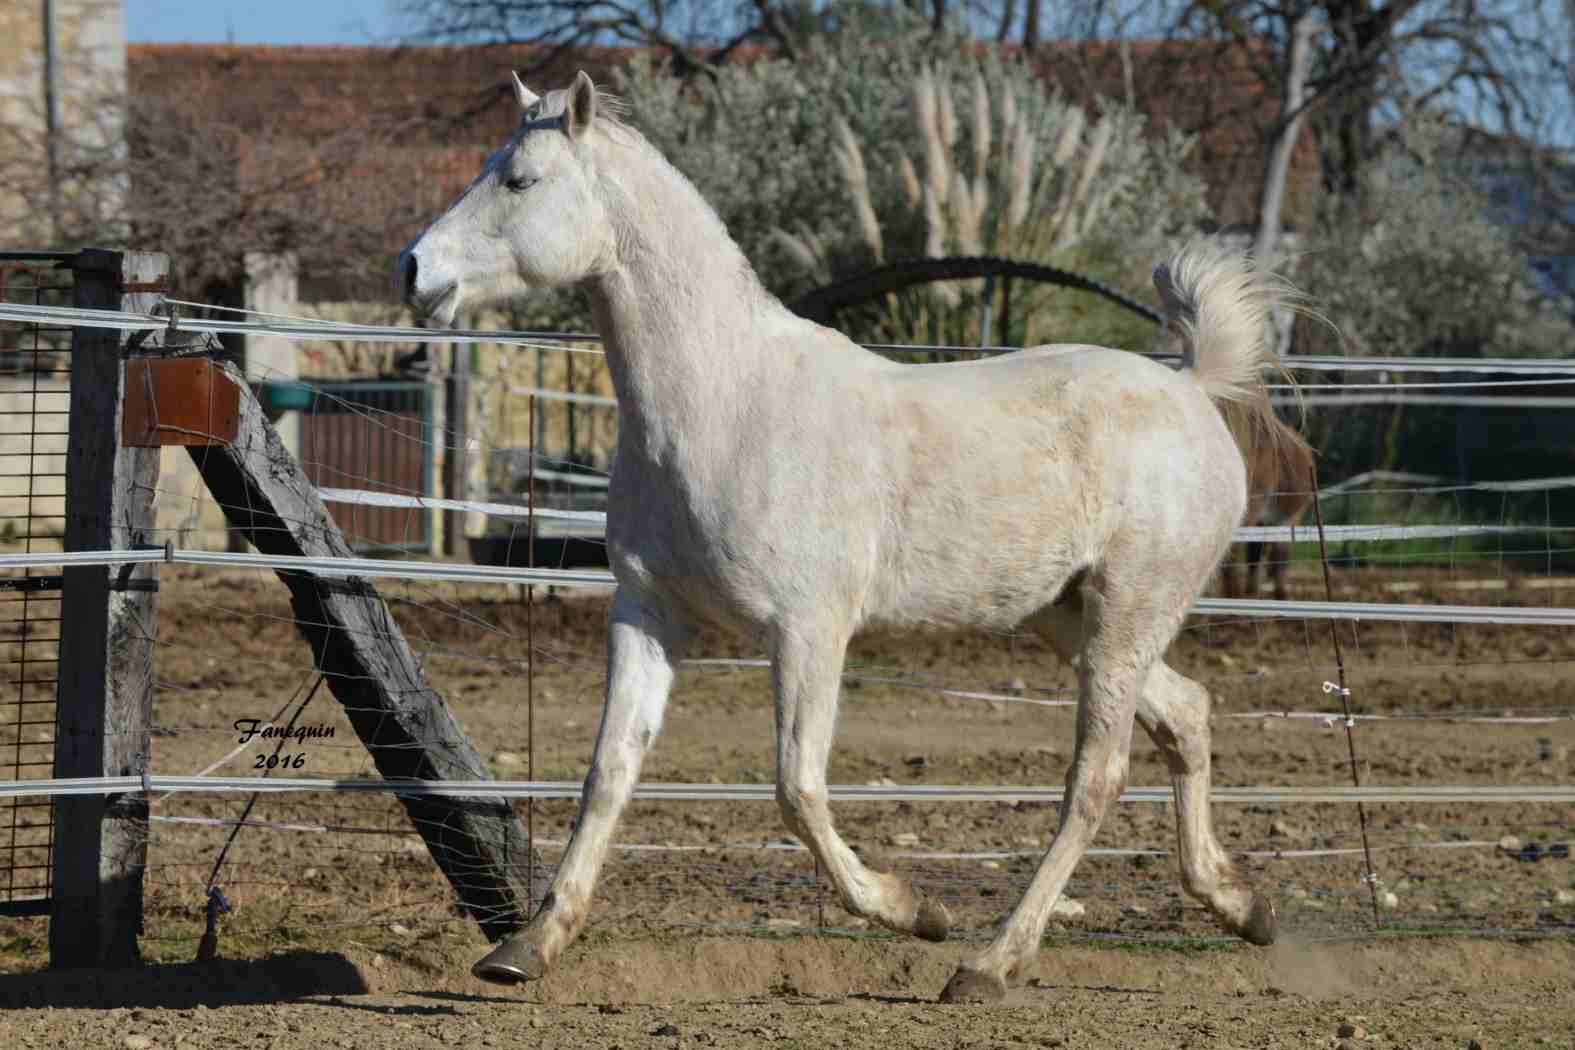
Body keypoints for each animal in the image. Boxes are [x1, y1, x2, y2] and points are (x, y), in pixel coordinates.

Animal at [396, 69, 1291, 1007]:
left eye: (519, 180)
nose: (414, 269)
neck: (723, 405)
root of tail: (1190, 389)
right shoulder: (648, 614)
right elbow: (609, 771)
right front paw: (525, 949)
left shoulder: (808, 631)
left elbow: (797, 786)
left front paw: (914, 910)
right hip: (1066, 618)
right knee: (1185, 715)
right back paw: (1241, 907)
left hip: (1126, 611)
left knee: (1096, 775)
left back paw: (990, 962)